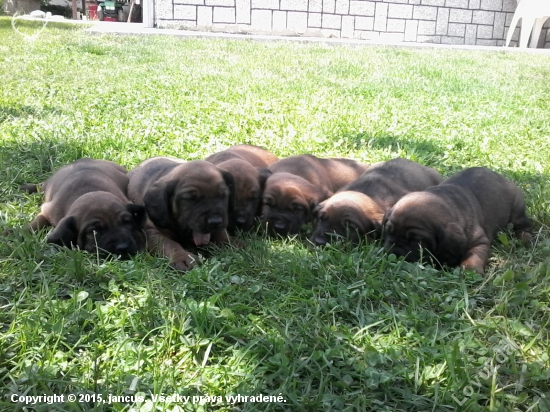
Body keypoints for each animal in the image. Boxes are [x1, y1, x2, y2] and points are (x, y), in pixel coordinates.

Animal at [384, 166, 536, 276]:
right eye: (388, 232)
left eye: (417, 242)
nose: (393, 252)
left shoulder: (479, 241)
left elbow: (474, 256)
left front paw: (470, 271)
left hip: (517, 209)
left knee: (523, 226)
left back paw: (525, 238)